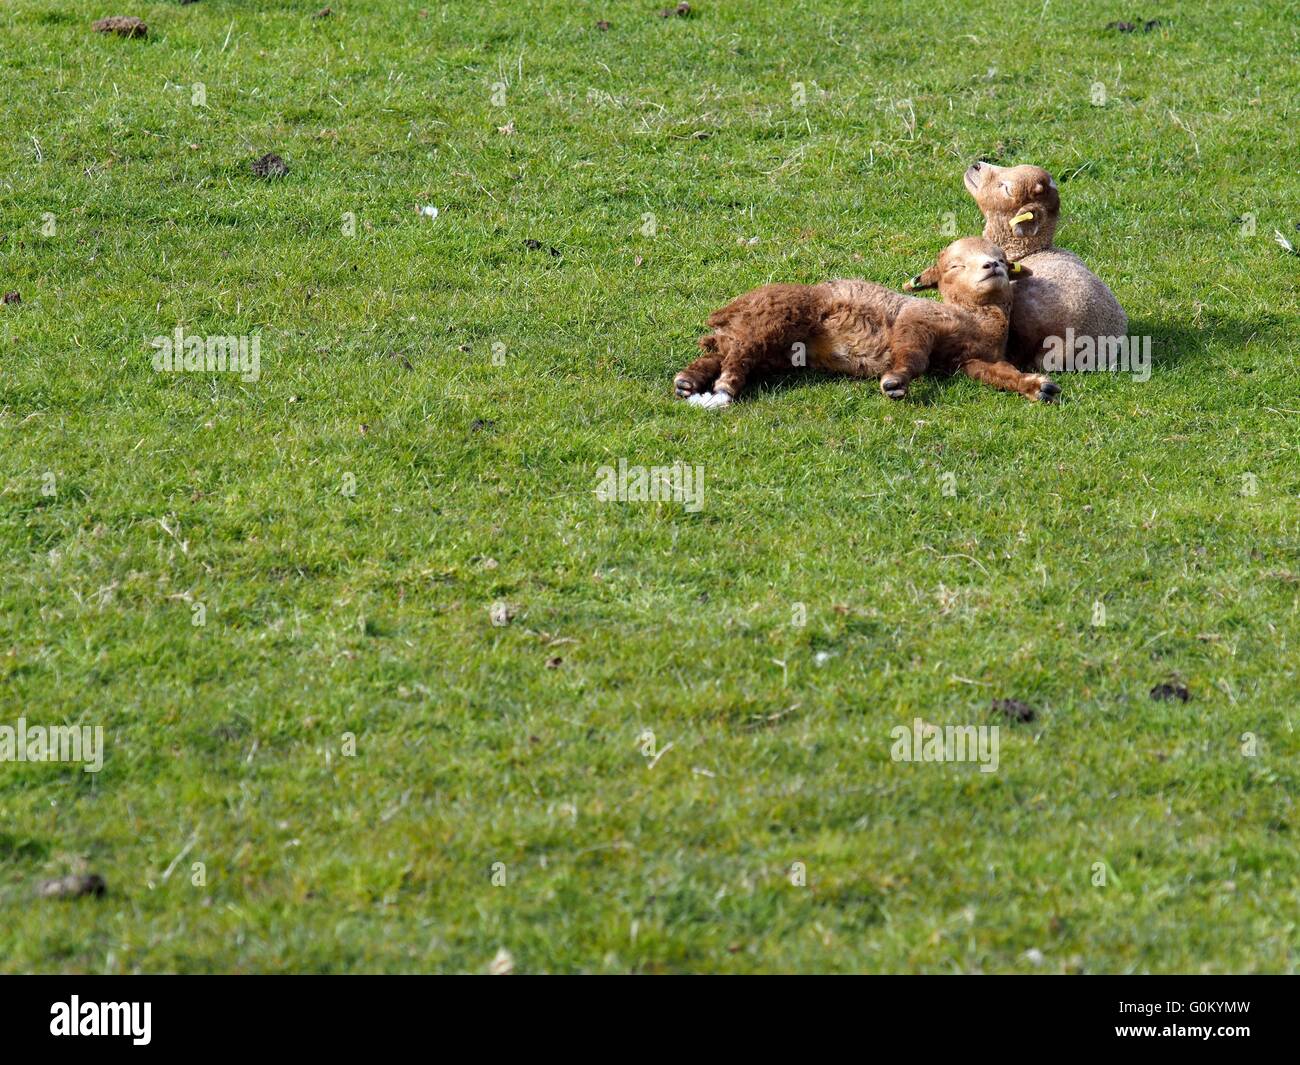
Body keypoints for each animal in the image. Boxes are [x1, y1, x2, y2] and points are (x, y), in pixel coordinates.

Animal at [673, 236, 1059, 408]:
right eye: (955, 266)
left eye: (1002, 259)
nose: (991, 267)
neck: (974, 317)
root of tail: (733, 307)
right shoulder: (917, 321)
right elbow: (913, 357)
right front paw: (895, 382)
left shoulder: (971, 360)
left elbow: (1000, 374)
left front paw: (1037, 386)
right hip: (776, 317)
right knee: (739, 353)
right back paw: (724, 389)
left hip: (769, 345)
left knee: (721, 352)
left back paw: (688, 382)